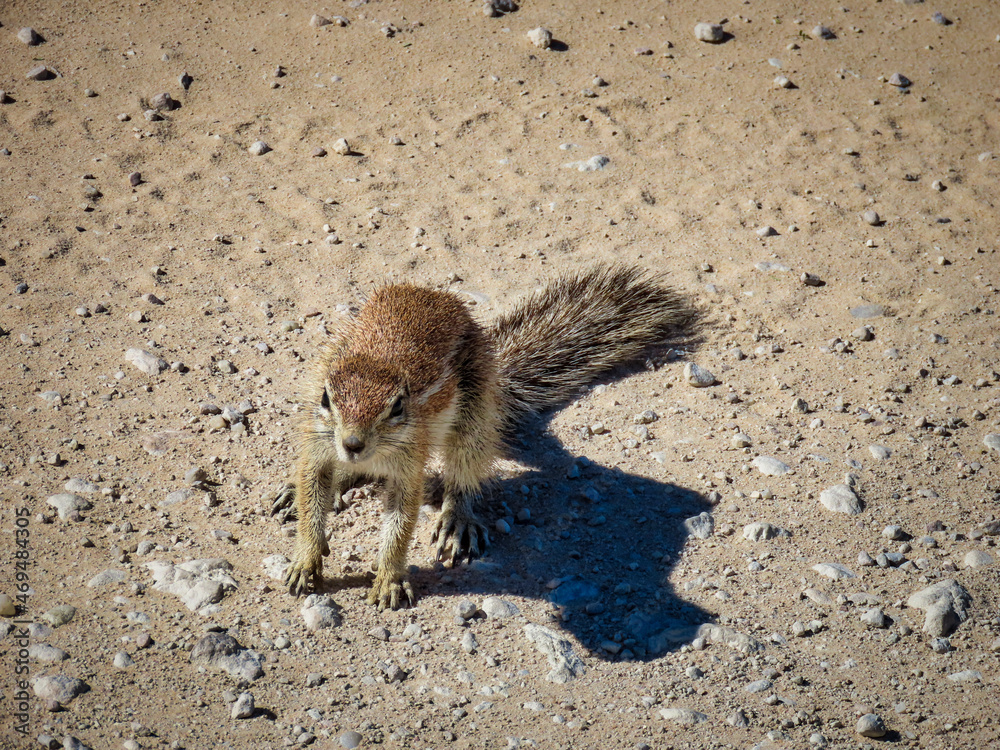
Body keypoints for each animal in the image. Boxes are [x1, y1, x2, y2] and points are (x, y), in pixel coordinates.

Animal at [273, 265, 697, 609]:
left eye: (397, 407)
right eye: (326, 399)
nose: (352, 444)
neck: (379, 362)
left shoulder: (408, 463)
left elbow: (400, 524)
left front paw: (390, 579)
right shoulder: (317, 444)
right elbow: (313, 496)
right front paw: (305, 559)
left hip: (474, 415)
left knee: (463, 473)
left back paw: (457, 520)